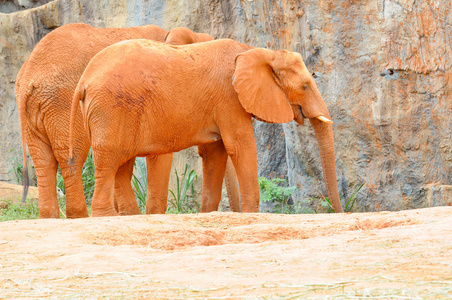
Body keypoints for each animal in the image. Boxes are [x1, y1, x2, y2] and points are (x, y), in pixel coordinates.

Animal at [15, 22, 235, 218]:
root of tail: (28, 78)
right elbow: (160, 156)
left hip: (33, 111)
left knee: (43, 161)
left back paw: (49, 217)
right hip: (63, 103)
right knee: (72, 157)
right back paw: (80, 216)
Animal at [67, 38, 342, 216]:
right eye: (305, 86)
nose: (339, 212)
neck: (258, 52)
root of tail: (83, 80)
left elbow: (216, 154)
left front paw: (208, 213)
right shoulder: (229, 98)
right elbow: (240, 147)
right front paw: (252, 215)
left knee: (122, 167)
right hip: (110, 110)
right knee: (109, 163)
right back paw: (104, 217)